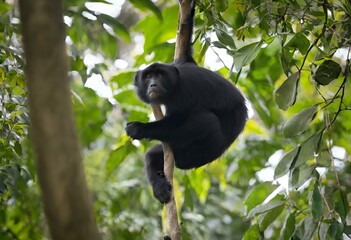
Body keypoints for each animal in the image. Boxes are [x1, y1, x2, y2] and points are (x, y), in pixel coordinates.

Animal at [126, 0, 248, 204]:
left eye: (159, 75)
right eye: (148, 76)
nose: (153, 84)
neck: (175, 83)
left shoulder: (183, 94)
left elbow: (176, 121)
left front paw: (139, 128)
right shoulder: (182, 62)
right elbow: (185, 51)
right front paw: (188, 13)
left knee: (207, 122)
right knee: (152, 154)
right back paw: (159, 187)